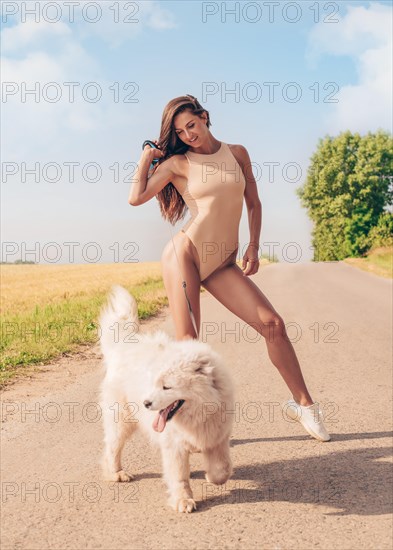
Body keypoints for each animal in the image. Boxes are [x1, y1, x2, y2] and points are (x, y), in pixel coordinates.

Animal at [99, 286, 233, 516]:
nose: (146, 403)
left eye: (167, 387)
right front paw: (183, 500)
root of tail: (123, 346)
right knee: (112, 447)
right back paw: (116, 473)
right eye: (154, 383)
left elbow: (221, 470)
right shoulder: (174, 446)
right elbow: (179, 477)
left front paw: (211, 476)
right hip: (121, 420)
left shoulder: (217, 437)